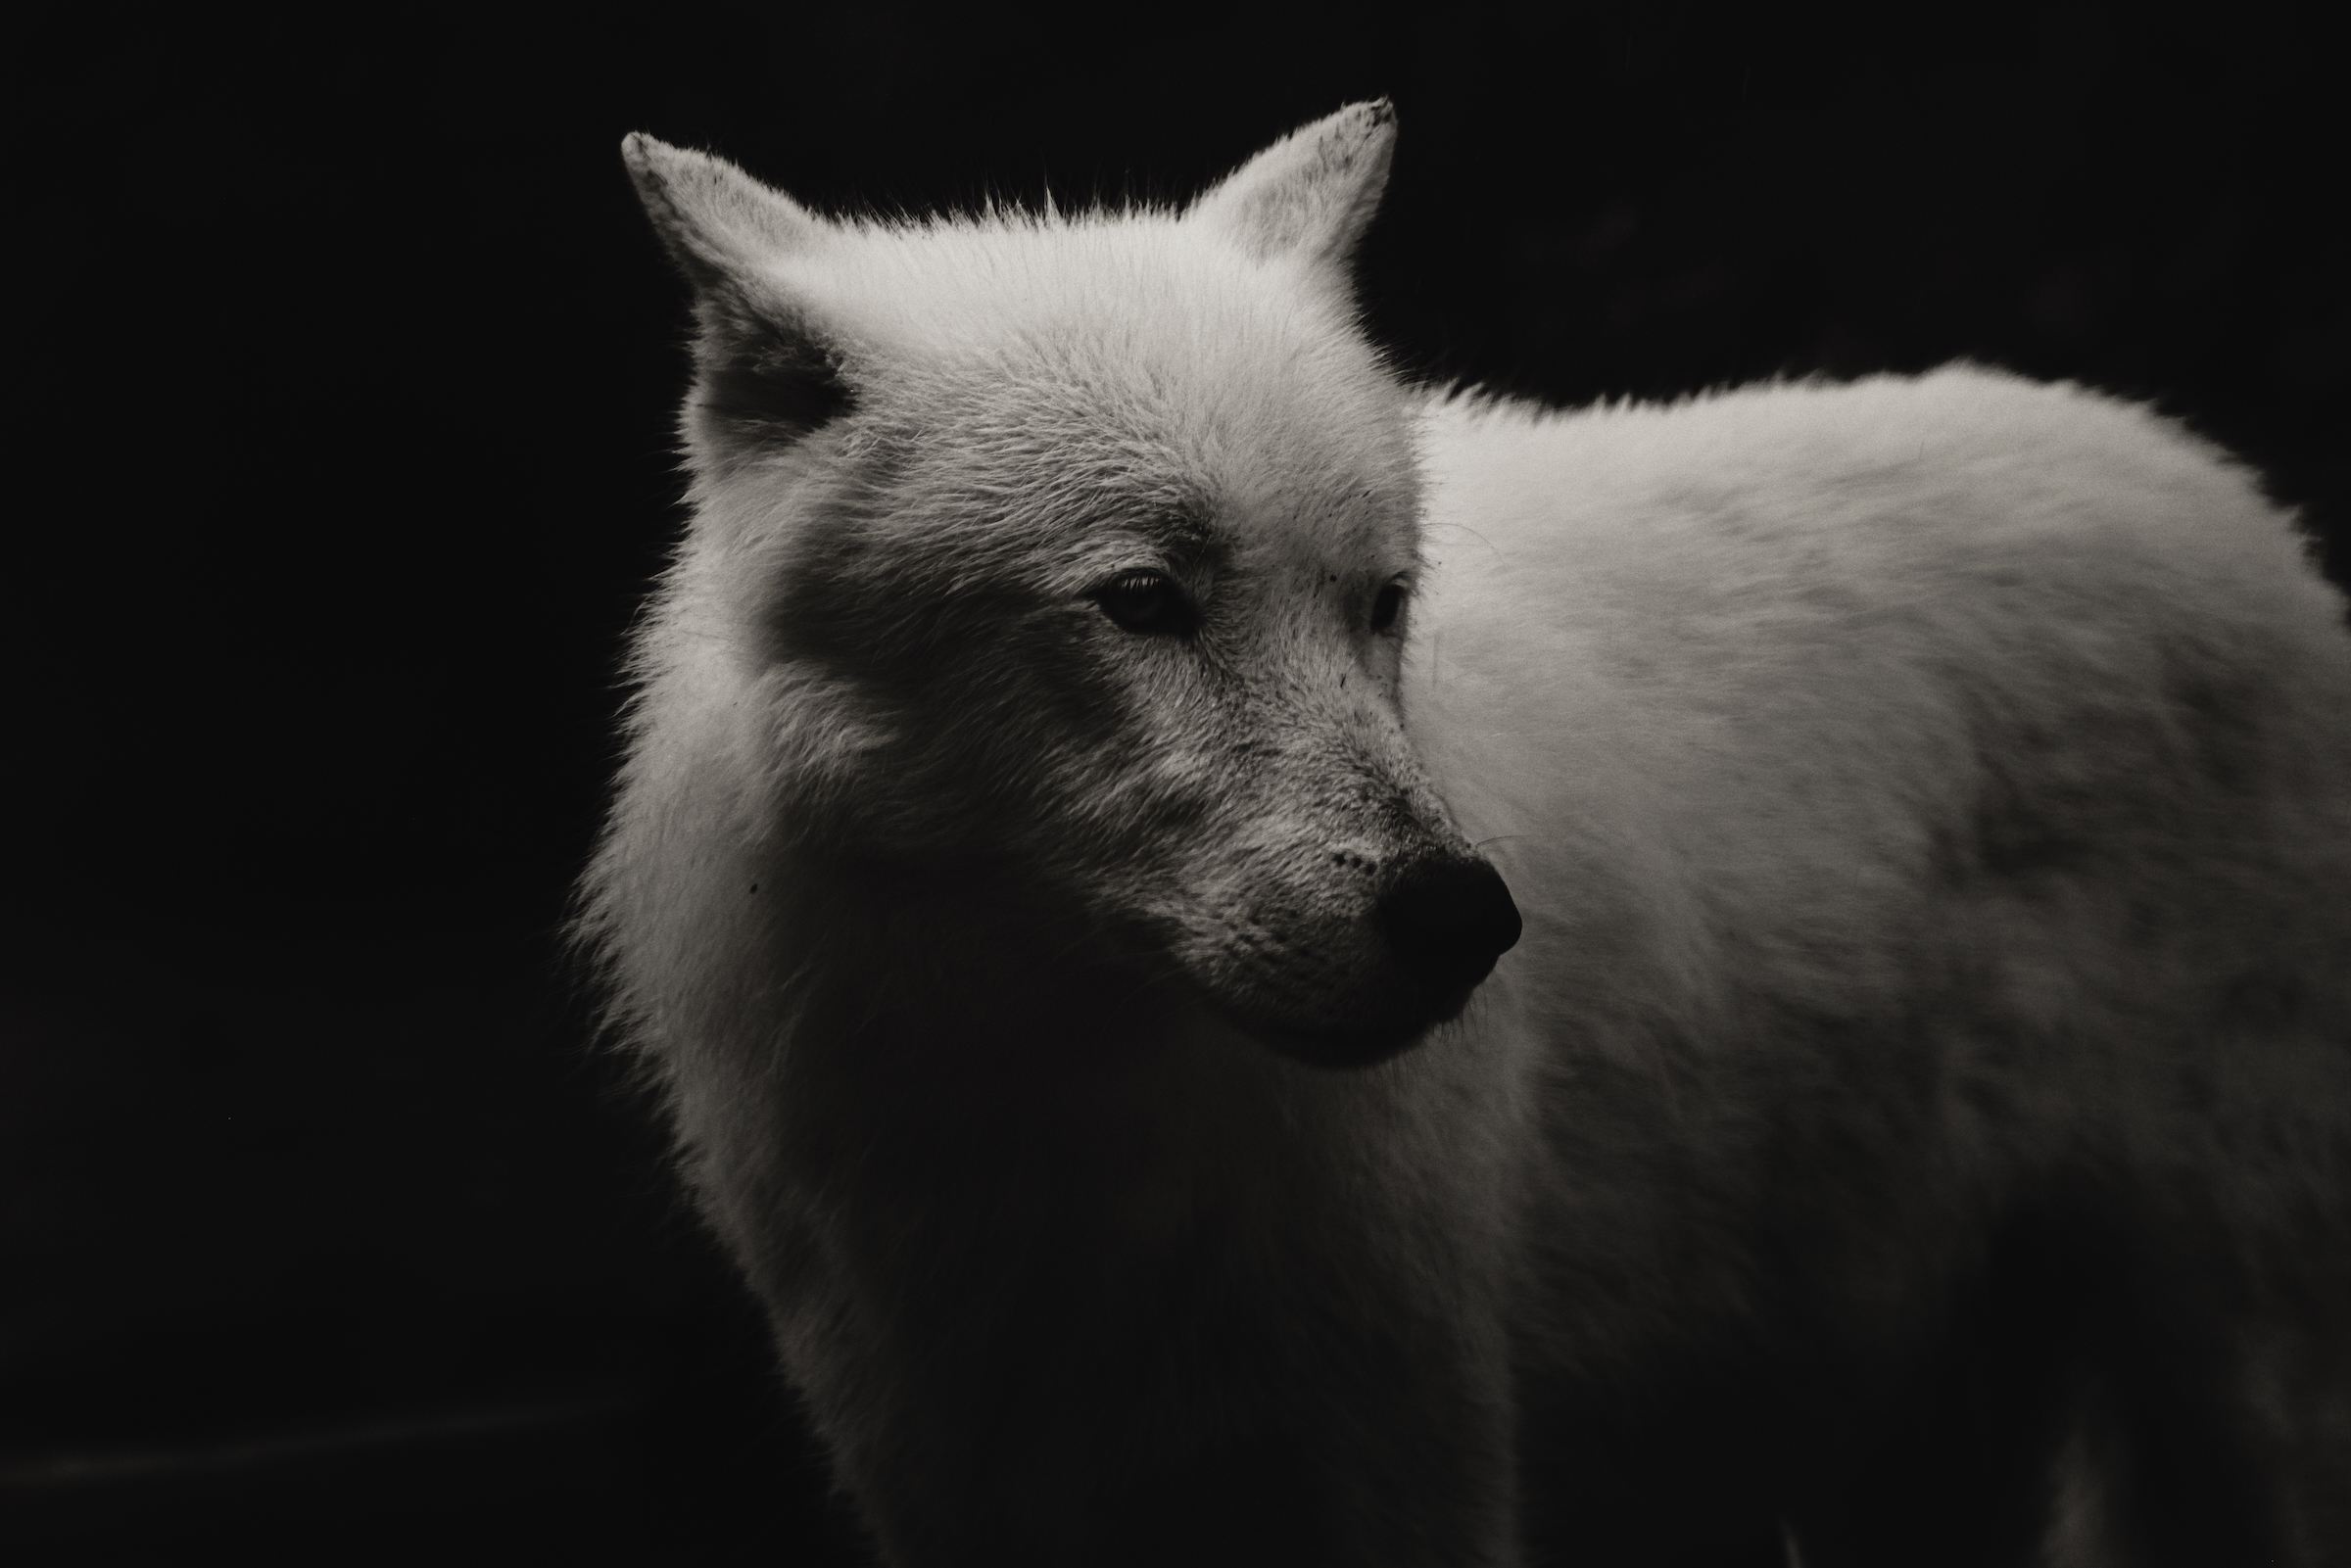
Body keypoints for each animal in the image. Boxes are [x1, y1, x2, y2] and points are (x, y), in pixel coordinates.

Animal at [580, 102, 2351, 1566]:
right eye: (1142, 600)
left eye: (1382, 603)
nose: (1463, 922)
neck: (1057, 1121)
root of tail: (2230, 494)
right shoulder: (954, 1481)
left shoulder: (1405, 1478)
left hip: (2244, 1394)